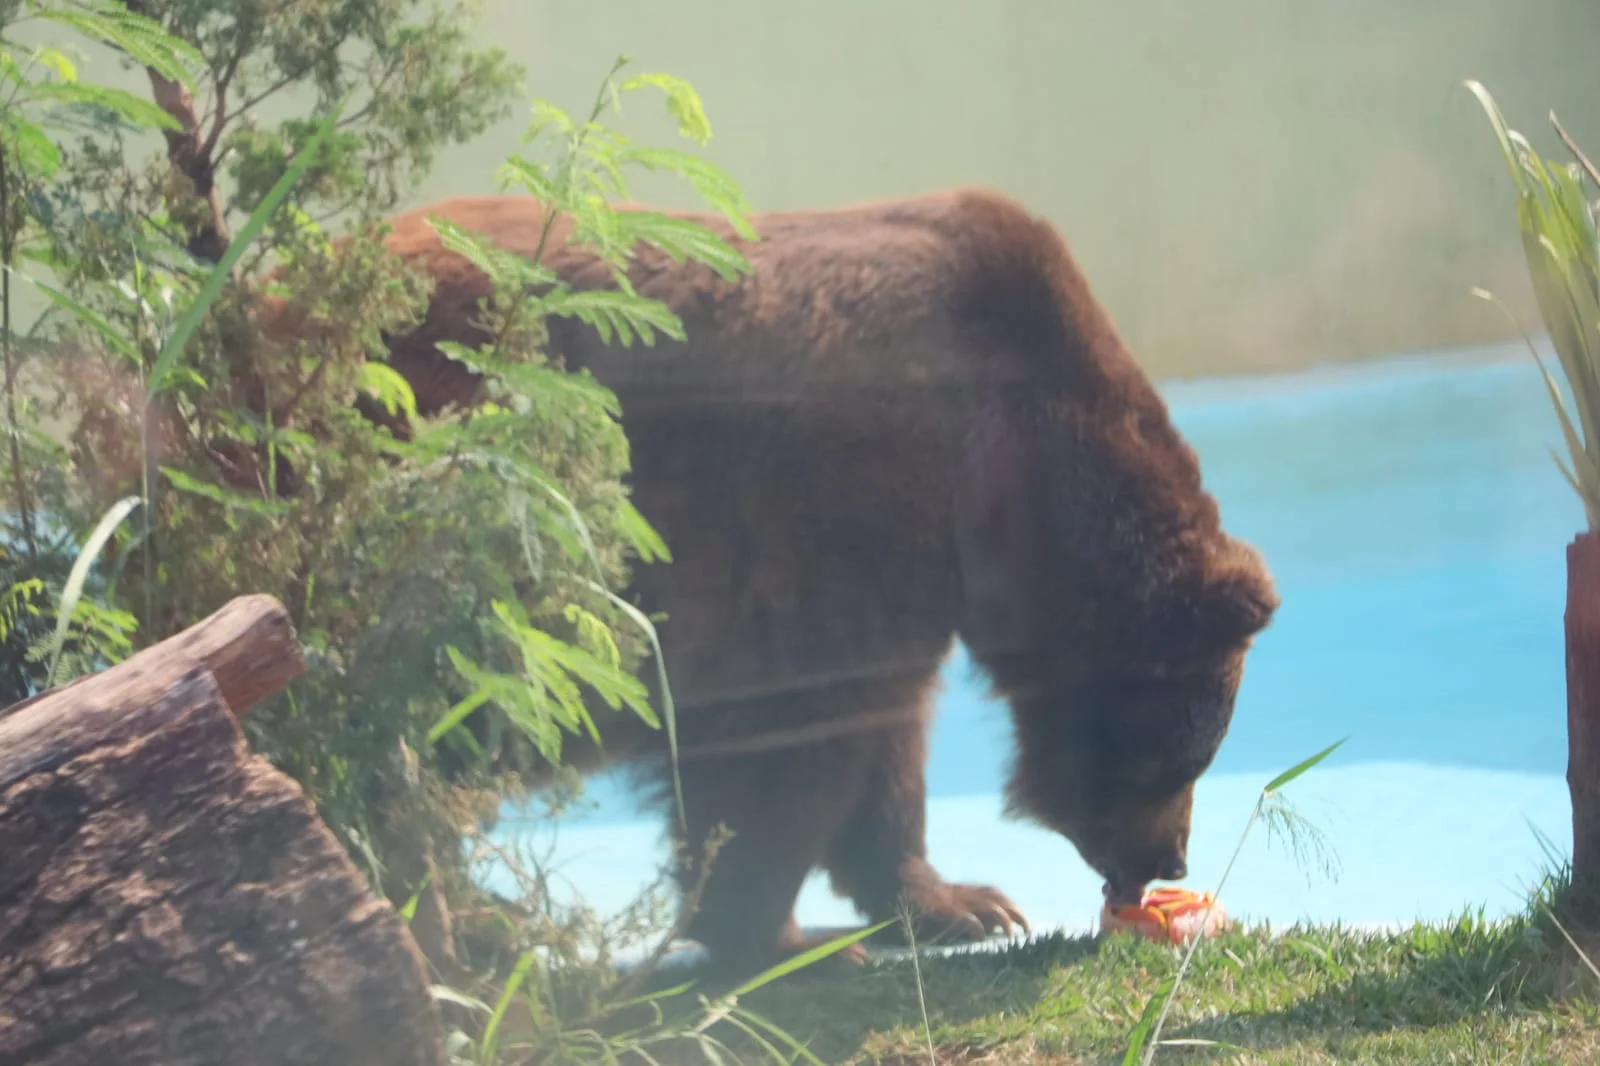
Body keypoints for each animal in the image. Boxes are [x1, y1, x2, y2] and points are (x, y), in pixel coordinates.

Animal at [360, 188, 1273, 973]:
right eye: (1177, 759)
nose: (1166, 857)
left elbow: (887, 740)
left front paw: (959, 902)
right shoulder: (832, 520)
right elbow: (788, 739)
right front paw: (785, 939)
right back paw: (473, 922)